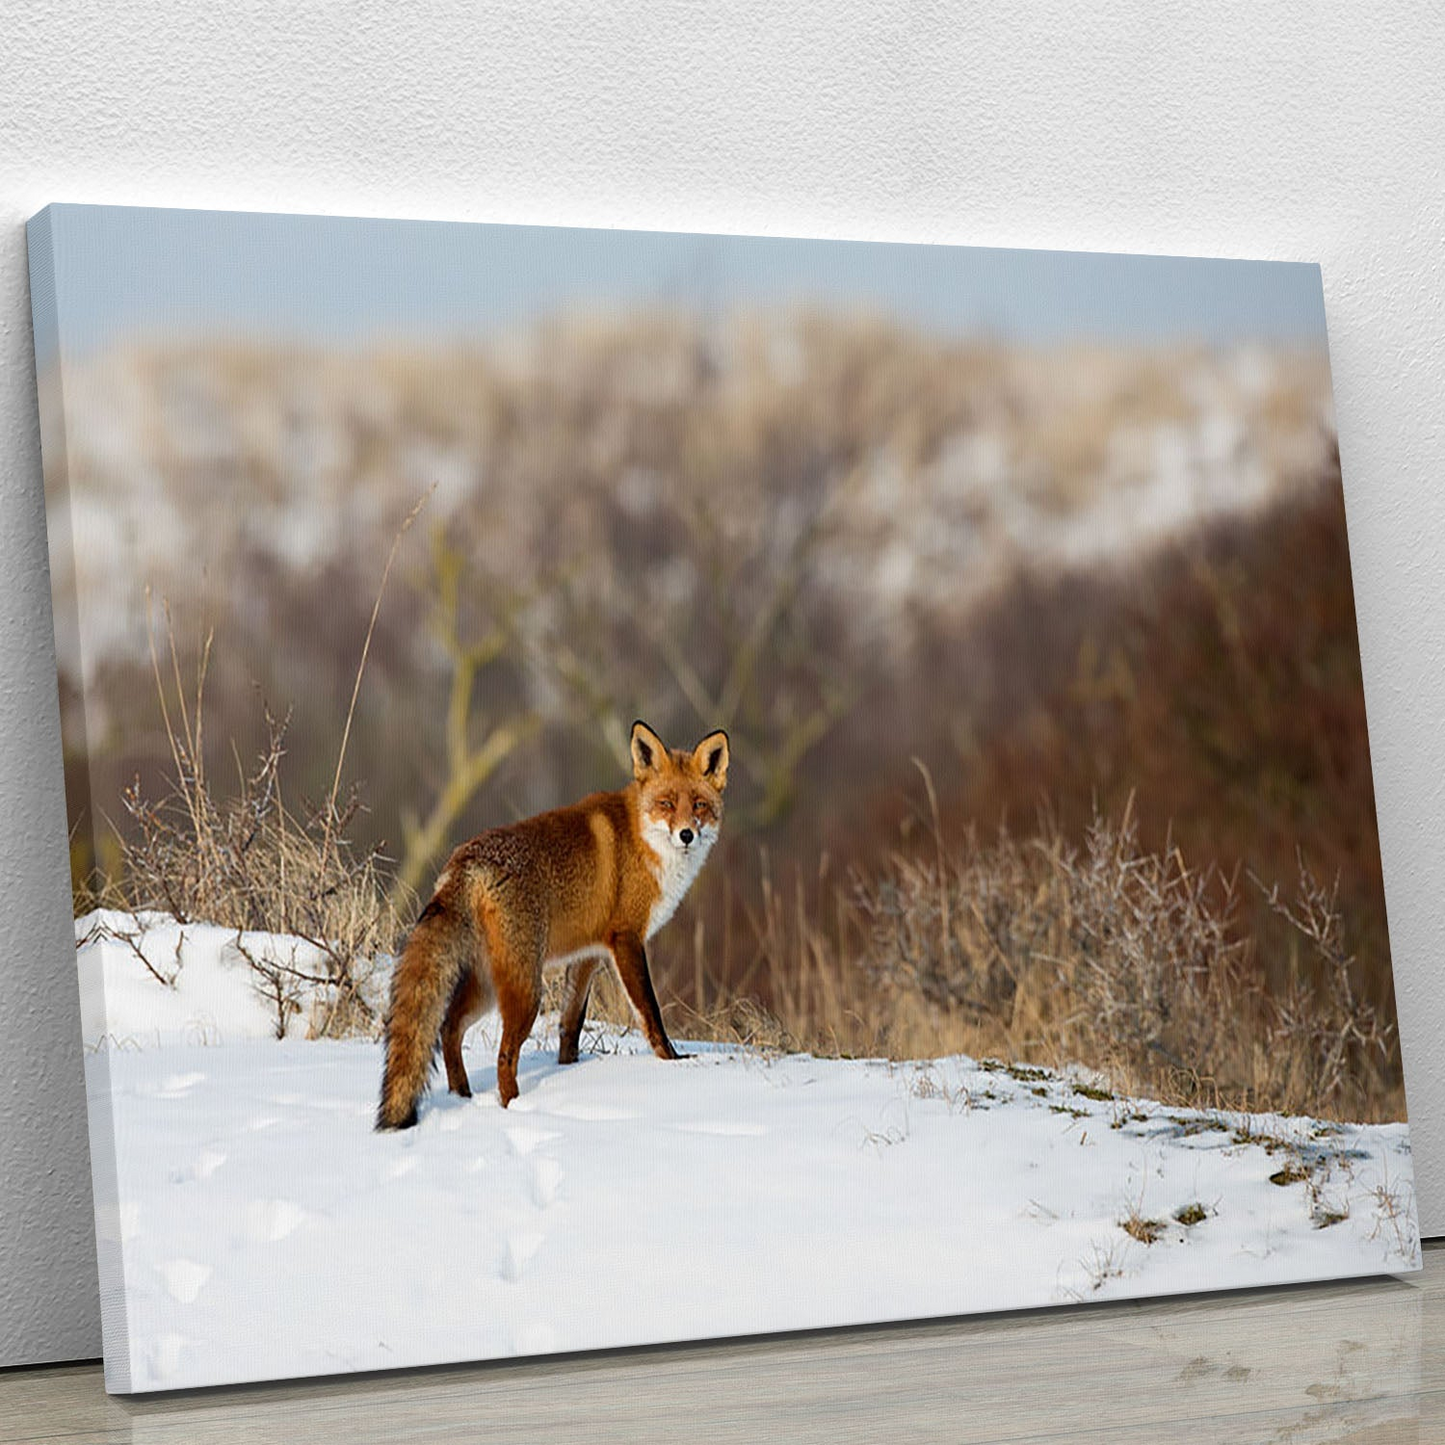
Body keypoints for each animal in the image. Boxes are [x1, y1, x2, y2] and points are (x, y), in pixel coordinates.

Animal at [378, 722, 728, 1127]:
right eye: (667, 803)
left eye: (699, 805)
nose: (687, 834)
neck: (642, 840)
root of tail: (465, 860)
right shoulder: (626, 938)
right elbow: (650, 1012)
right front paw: (672, 1061)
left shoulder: (588, 954)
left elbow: (570, 1025)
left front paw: (568, 1069)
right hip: (526, 990)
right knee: (503, 1055)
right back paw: (514, 1107)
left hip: (487, 985)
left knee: (448, 1028)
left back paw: (462, 1097)